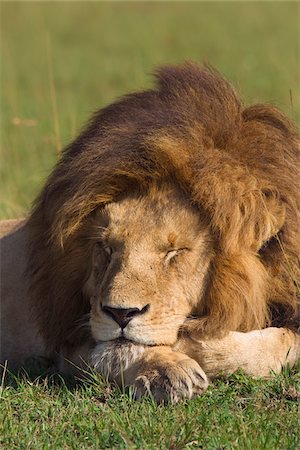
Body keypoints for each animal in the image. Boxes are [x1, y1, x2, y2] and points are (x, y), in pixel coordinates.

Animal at [0, 61, 300, 402]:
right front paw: (166, 369)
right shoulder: (70, 342)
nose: (120, 313)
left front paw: (190, 343)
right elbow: (112, 349)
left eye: (174, 252)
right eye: (106, 248)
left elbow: (282, 345)